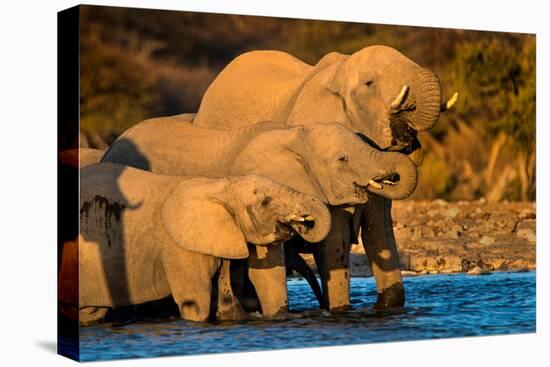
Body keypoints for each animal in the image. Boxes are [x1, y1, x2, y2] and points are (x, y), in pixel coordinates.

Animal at [58, 162, 330, 324]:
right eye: (265, 202)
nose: (304, 224)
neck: (219, 185)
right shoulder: (179, 248)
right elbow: (196, 303)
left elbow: (241, 297)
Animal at [192, 44, 460, 312]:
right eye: (369, 83)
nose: (406, 140)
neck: (339, 73)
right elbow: (335, 238)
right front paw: (339, 310)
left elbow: (379, 229)